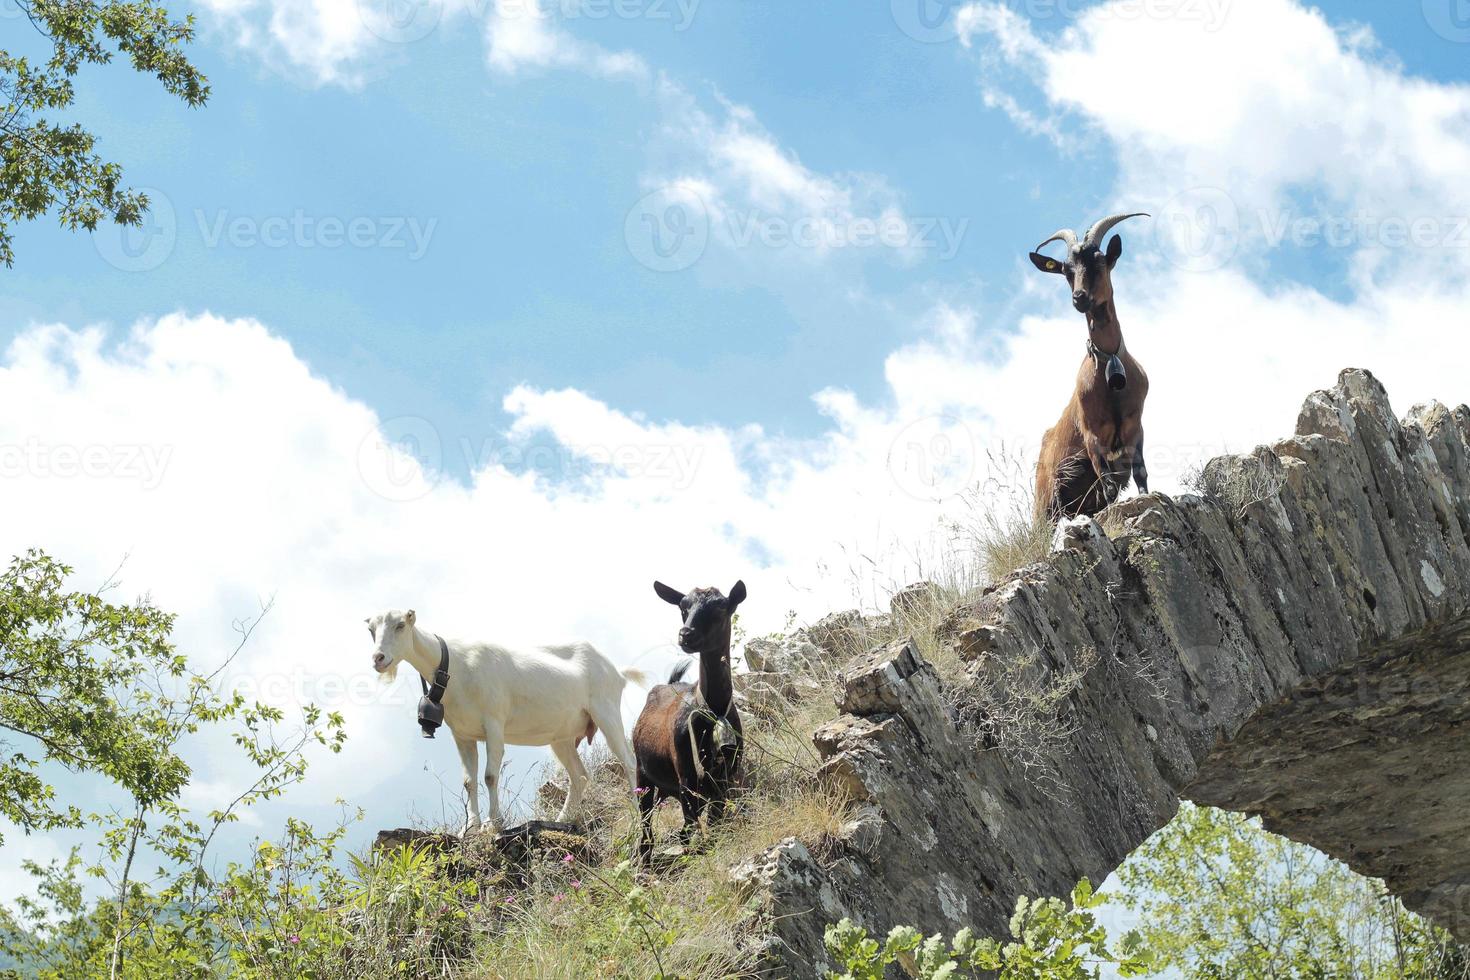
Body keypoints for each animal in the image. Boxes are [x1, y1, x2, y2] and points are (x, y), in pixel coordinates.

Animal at [367, 608, 643, 834]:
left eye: (400, 625)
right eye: (371, 630)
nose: (378, 658)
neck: (456, 666)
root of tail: (617, 672)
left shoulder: (494, 725)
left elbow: (490, 776)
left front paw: (493, 823)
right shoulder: (463, 735)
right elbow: (468, 781)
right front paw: (470, 827)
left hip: (606, 711)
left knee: (628, 762)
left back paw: (638, 810)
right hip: (561, 738)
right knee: (580, 776)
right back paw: (563, 819)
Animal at [632, 578, 746, 863]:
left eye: (721, 607)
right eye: (683, 607)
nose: (686, 634)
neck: (712, 711)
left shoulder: (726, 776)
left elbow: (714, 822)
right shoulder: (686, 775)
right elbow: (691, 824)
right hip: (642, 773)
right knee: (646, 821)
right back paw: (645, 859)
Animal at [1029, 211, 1152, 525]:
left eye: (1099, 260)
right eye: (1066, 270)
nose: (1080, 297)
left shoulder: (1135, 426)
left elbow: (1140, 473)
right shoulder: (1093, 437)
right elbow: (1108, 486)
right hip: (1045, 501)